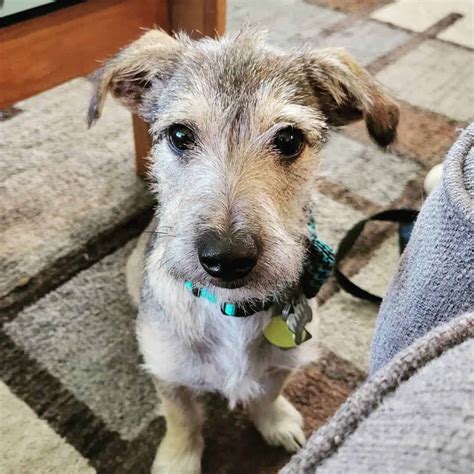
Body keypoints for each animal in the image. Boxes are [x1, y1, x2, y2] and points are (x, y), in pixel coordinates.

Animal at [87, 26, 398, 474]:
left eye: (288, 139)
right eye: (180, 135)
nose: (226, 258)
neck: (231, 308)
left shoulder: (283, 362)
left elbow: (268, 393)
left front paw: (276, 421)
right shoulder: (169, 371)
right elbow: (182, 419)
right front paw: (178, 459)